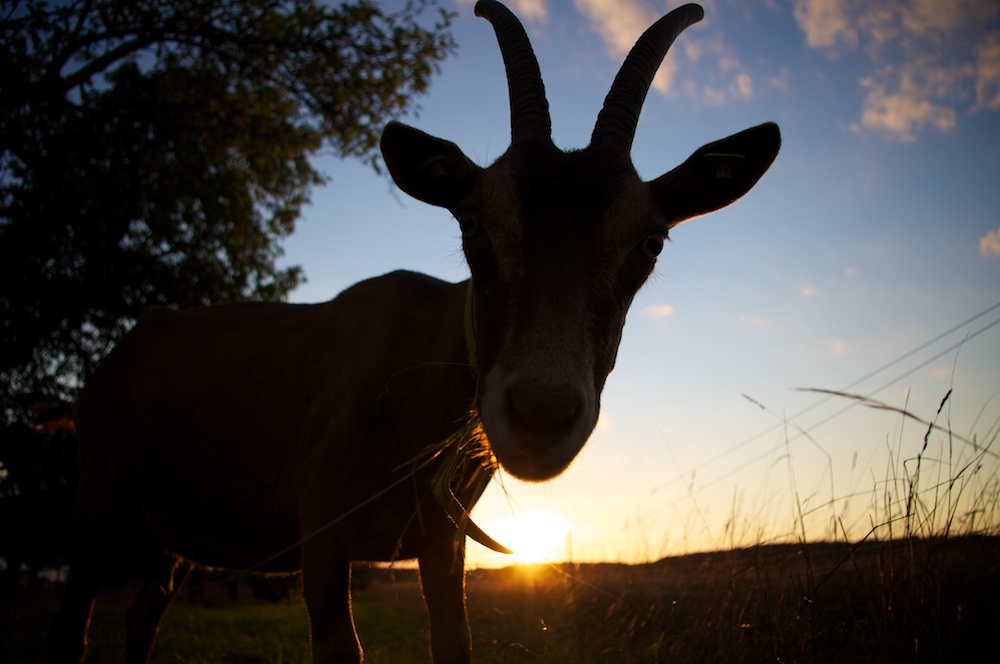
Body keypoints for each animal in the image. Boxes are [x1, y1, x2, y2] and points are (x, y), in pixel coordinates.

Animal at [48, 1, 780, 664]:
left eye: (650, 243)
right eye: (472, 223)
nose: (541, 415)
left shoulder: (441, 542)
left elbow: (453, 642)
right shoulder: (323, 527)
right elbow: (341, 649)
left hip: (169, 539)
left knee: (140, 619)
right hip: (94, 507)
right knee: (74, 626)